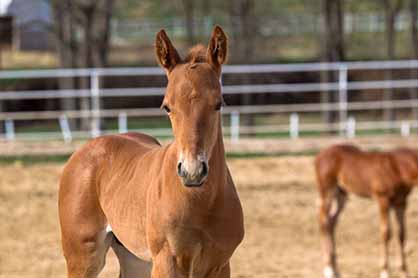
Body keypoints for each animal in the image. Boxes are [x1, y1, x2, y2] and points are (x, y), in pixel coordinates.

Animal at [58, 25, 245, 276]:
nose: (192, 171)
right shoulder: (167, 261)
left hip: (134, 258)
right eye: (167, 106)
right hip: (83, 256)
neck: (201, 201)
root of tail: (86, 149)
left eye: (219, 104)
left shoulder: (220, 264)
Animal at [316, 144, 416, 278]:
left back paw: (337, 271)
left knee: (331, 222)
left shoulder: (401, 203)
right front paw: (384, 272)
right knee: (323, 221)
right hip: (327, 190)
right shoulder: (383, 200)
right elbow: (386, 233)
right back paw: (328, 270)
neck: (398, 167)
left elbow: (402, 234)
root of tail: (320, 156)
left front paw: (404, 272)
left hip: (341, 194)